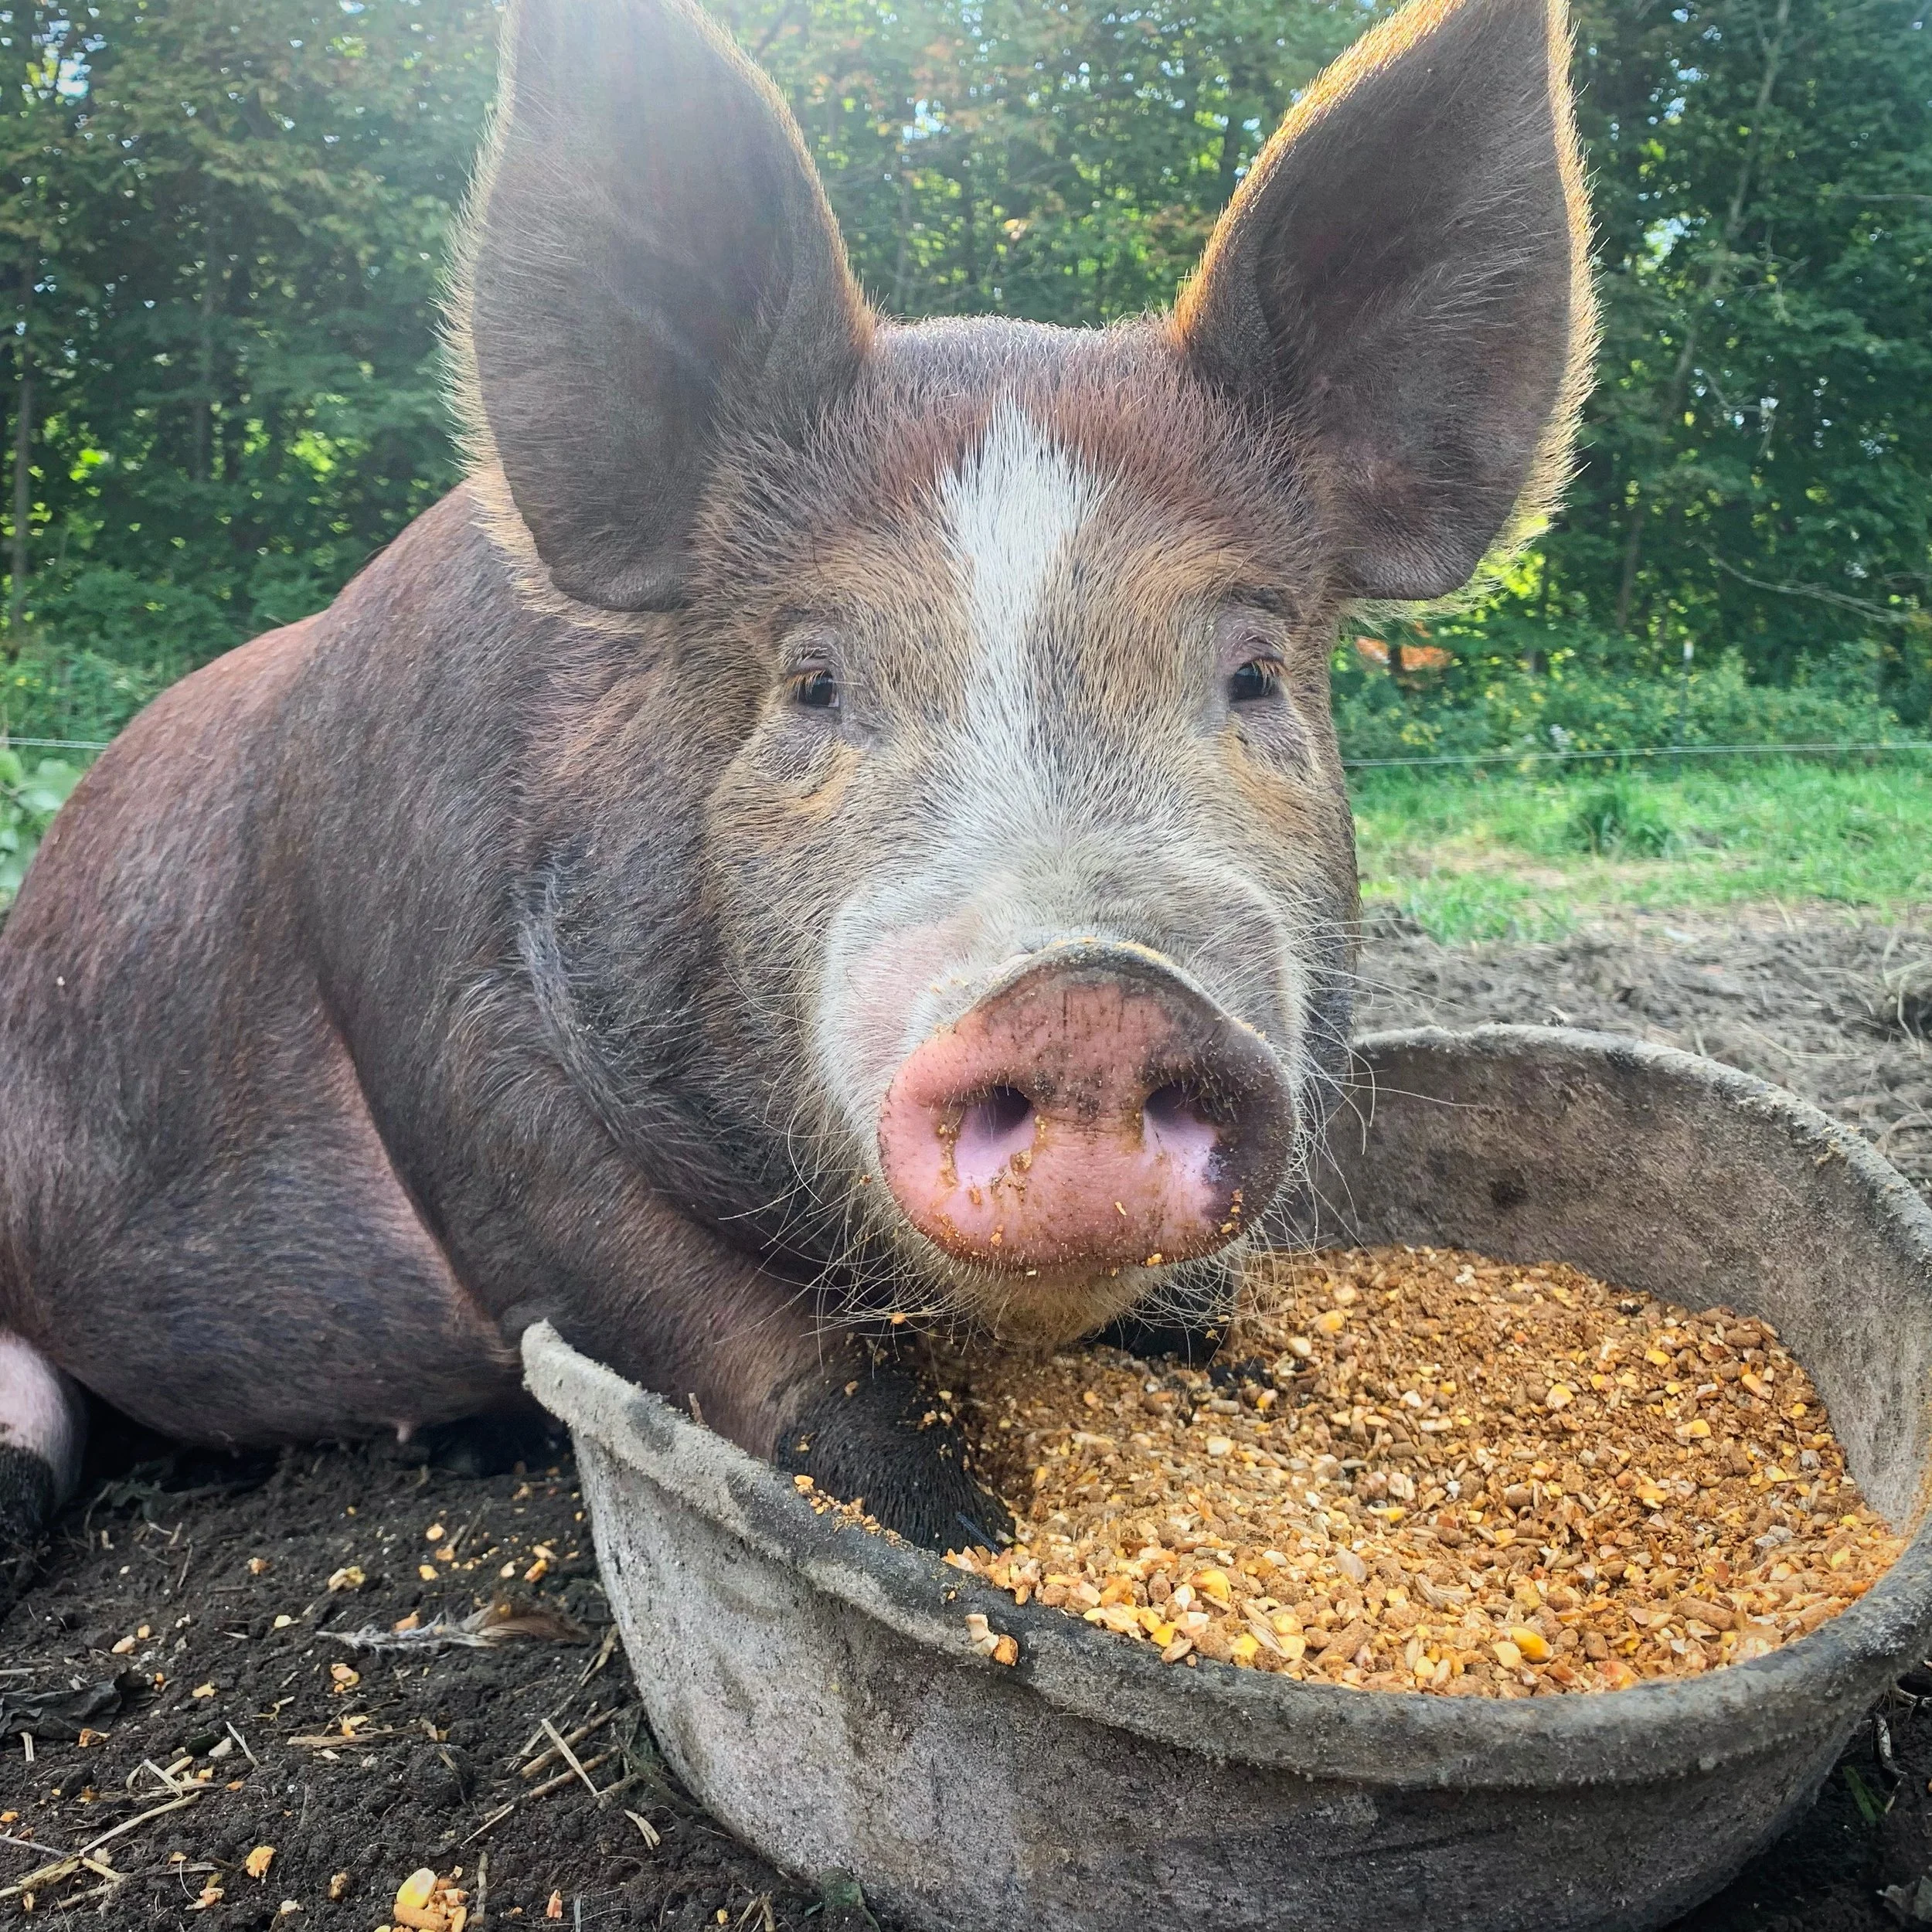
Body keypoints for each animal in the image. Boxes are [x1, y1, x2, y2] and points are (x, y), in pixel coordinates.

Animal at [0, 0, 1592, 1559]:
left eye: (1254, 674)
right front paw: (959, 1534)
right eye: (812, 684)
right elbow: (759, 1349)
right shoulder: (443, 1038)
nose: (1092, 996)